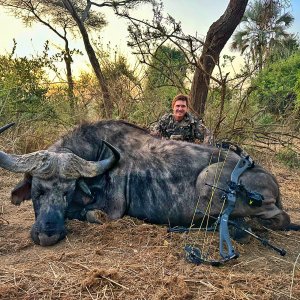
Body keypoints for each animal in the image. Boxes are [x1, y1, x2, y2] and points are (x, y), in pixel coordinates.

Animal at [0, 120, 298, 246]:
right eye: (38, 192)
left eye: (67, 191)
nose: (48, 234)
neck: (97, 153)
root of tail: (269, 177)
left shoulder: (110, 211)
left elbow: (90, 214)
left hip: (208, 182)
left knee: (279, 219)